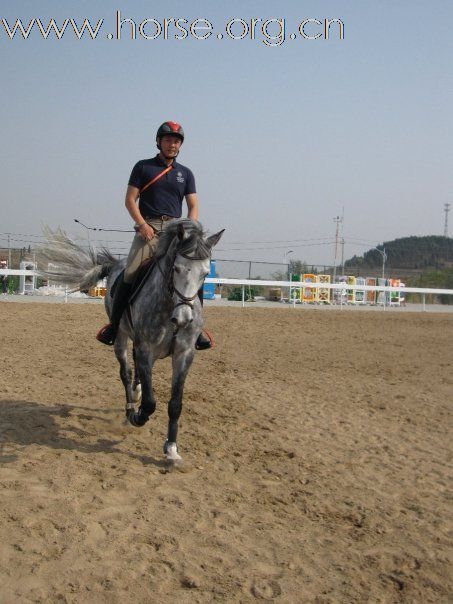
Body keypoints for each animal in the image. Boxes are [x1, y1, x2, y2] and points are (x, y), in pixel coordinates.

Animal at [38, 219, 224, 464]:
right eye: (176, 269)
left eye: (205, 273)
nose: (184, 318)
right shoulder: (145, 349)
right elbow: (149, 403)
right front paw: (137, 416)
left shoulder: (184, 354)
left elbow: (175, 404)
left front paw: (172, 450)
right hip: (121, 337)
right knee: (125, 372)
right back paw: (130, 406)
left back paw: (137, 392)